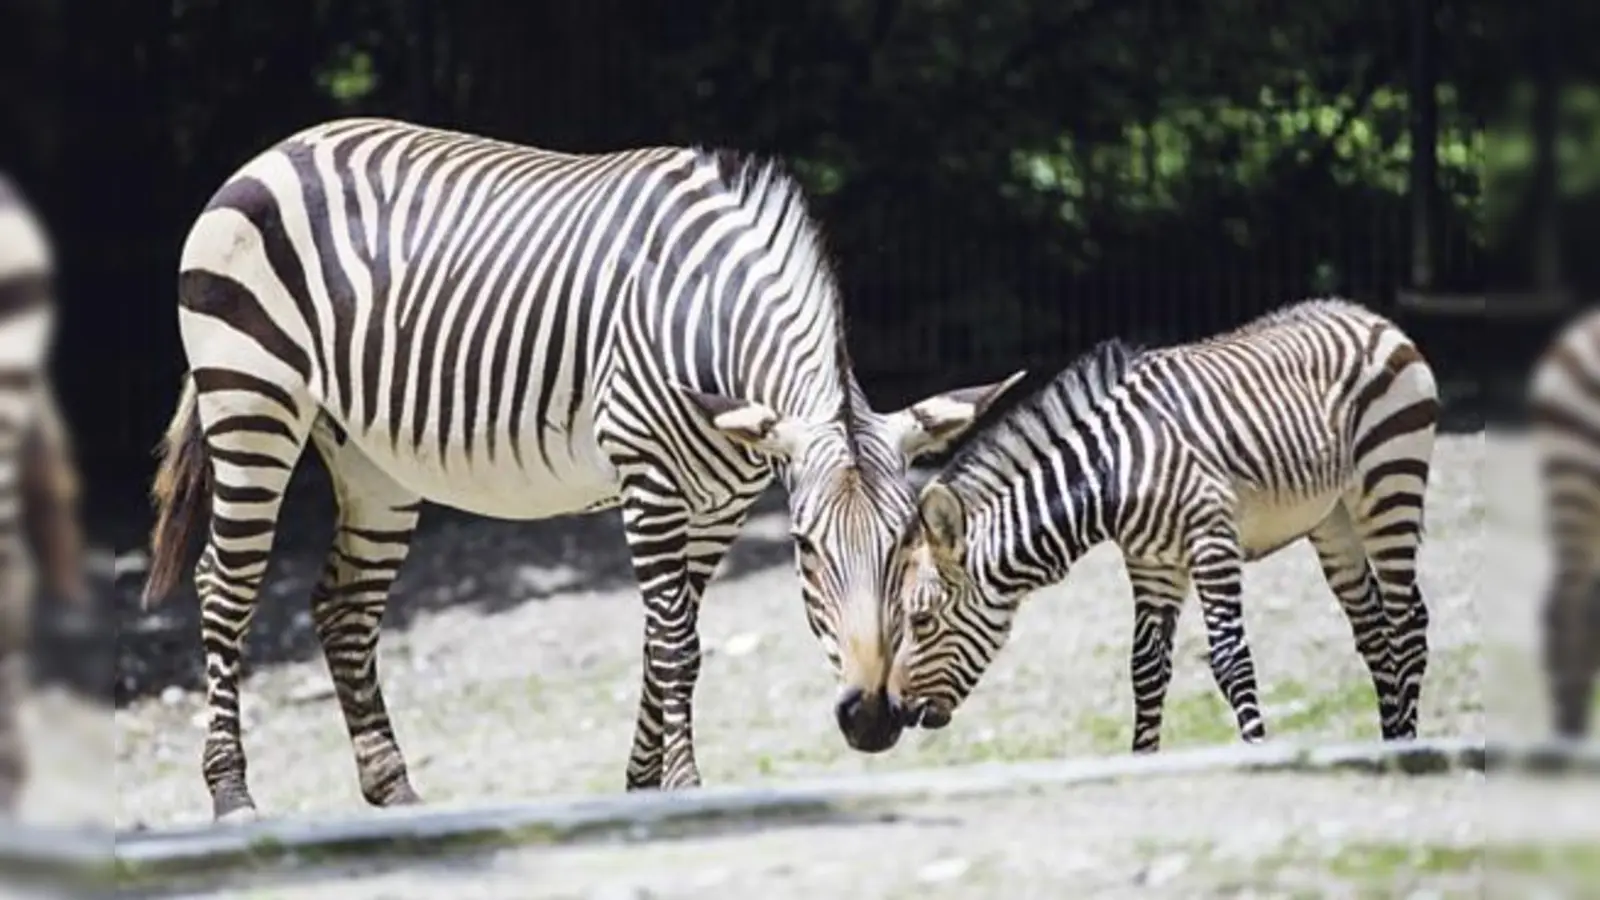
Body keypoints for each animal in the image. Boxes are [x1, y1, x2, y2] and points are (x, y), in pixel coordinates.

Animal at [139, 118, 1022, 822]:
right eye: (803, 548)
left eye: (906, 545)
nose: (872, 720)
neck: (709, 318)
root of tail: (279, 148)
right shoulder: (649, 481)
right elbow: (677, 647)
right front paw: (684, 790)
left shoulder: (720, 508)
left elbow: (664, 644)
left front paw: (641, 786)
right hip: (251, 399)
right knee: (226, 587)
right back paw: (232, 796)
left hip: (370, 457)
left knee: (342, 605)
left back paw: (396, 793)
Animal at [889, 298, 1438, 753]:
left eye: (922, 620)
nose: (894, 710)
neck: (1109, 474)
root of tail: (1371, 317)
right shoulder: (1150, 563)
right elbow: (1146, 668)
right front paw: (1141, 757)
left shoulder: (1212, 541)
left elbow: (1230, 657)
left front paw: (1256, 752)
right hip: (1333, 519)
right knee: (1373, 629)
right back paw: (1389, 740)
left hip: (1390, 482)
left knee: (1408, 620)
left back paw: (1407, 742)